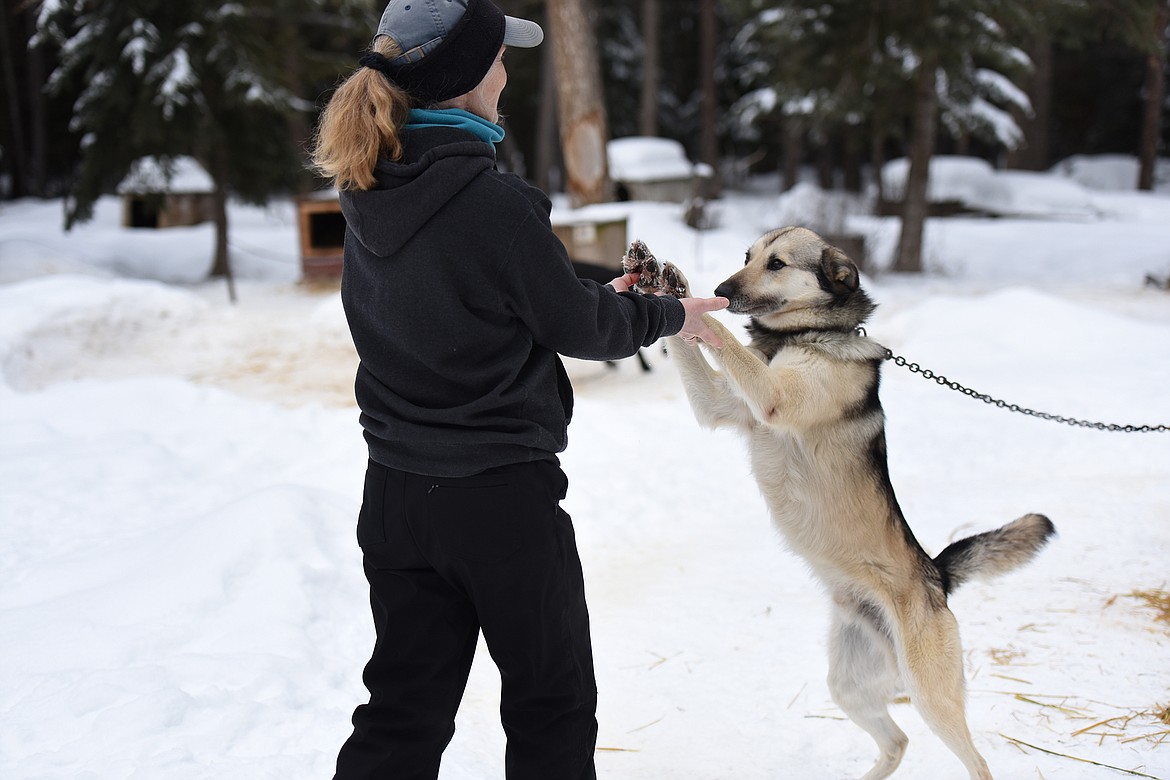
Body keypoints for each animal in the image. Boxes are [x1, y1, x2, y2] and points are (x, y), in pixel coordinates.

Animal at [627, 229, 1057, 776]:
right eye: (748, 257)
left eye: (778, 264)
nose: (722, 288)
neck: (800, 336)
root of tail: (937, 577)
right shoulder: (722, 405)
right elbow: (694, 346)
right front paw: (664, 281)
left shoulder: (771, 395)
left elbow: (718, 333)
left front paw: (693, 305)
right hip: (849, 683)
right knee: (896, 742)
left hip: (931, 696)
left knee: (975, 761)